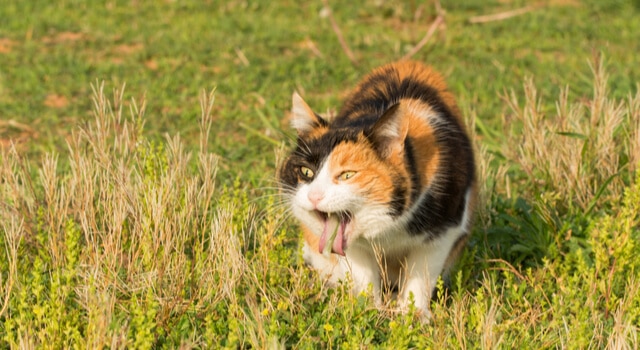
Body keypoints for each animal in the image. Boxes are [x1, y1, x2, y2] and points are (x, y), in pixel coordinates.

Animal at [278, 60, 478, 320]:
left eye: (347, 174)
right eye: (306, 172)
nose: (314, 196)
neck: (388, 229)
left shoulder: (444, 231)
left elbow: (421, 275)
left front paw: (413, 317)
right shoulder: (352, 248)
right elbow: (364, 277)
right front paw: (367, 311)